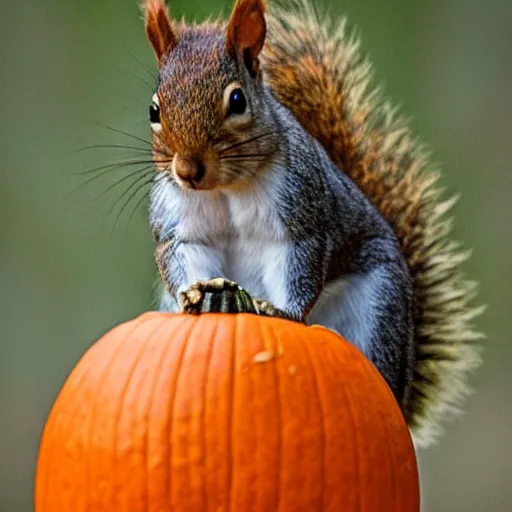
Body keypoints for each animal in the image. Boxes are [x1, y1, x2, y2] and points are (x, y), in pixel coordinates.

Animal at [141, 0, 484, 448]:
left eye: (237, 100)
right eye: (154, 109)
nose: (187, 171)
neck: (225, 188)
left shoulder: (302, 211)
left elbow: (300, 260)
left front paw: (280, 311)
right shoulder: (178, 220)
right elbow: (184, 253)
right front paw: (197, 295)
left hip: (379, 309)